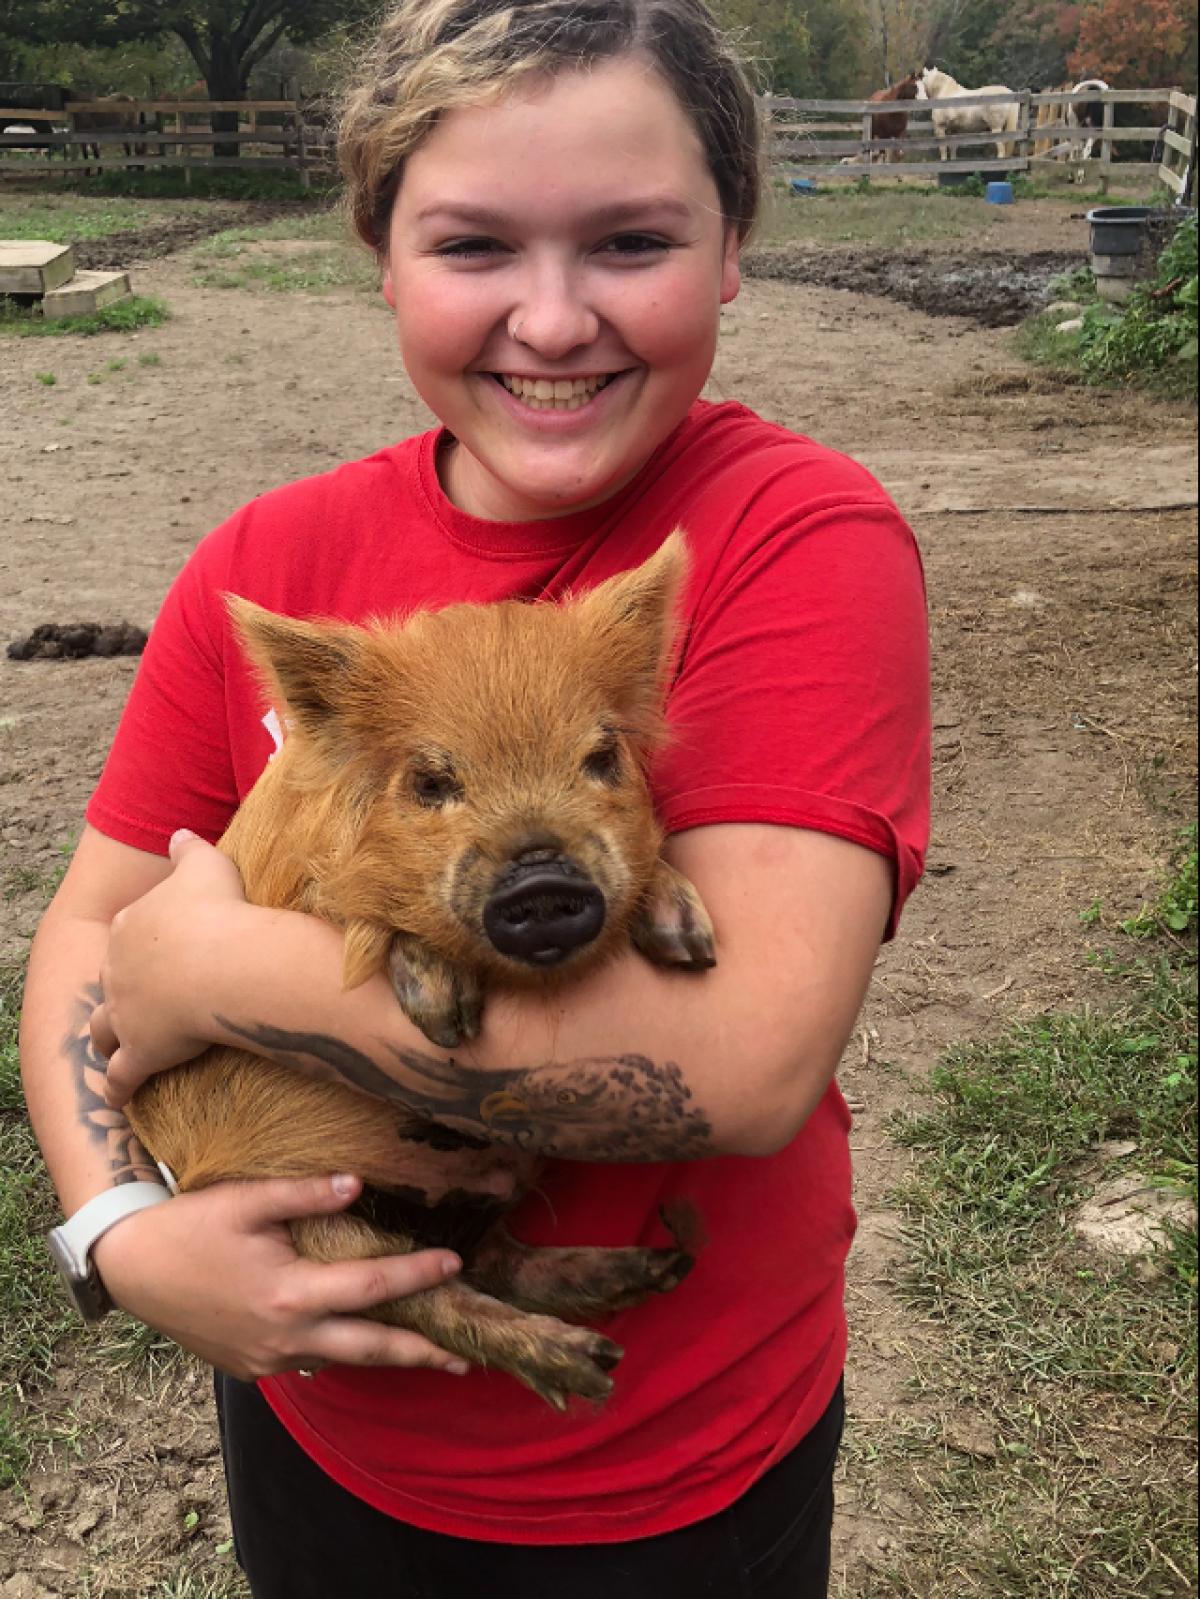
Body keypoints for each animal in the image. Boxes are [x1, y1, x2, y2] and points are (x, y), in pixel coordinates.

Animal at [126, 534, 716, 1408]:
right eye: (432, 781)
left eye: (602, 755)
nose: (542, 880)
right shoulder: (281, 895)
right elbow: (358, 919)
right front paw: (446, 1017)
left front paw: (692, 943)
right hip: (314, 1228)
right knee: (428, 1294)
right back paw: (590, 1362)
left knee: (495, 1262)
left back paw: (655, 1270)